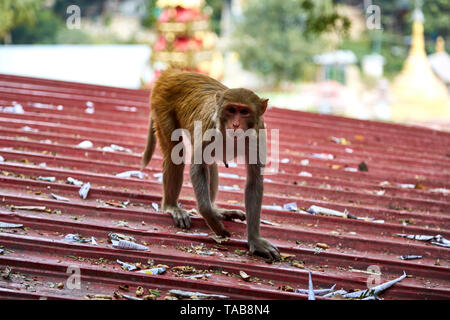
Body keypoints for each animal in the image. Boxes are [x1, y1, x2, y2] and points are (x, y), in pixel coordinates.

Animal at [142, 69, 282, 262]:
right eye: (231, 110)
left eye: (244, 111)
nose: (235, 124)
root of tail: (174, 72)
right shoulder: (209, 127)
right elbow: (197, 167)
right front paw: (211, 218)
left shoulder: (259, 134)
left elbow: (254, 182)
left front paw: (255, 240)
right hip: (161, 105)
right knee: (175, 152)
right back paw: (172, 206)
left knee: (210, 164)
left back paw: (218, 209)